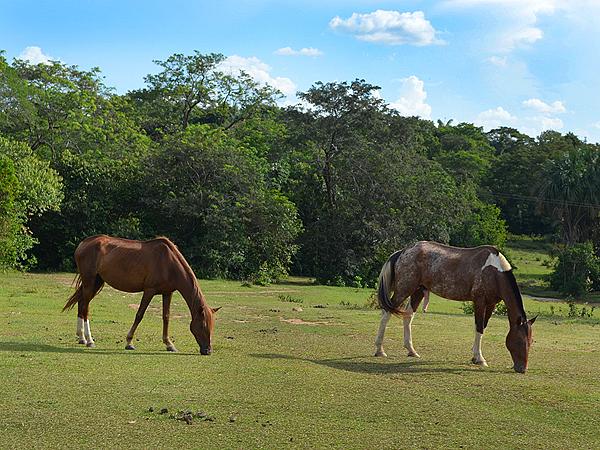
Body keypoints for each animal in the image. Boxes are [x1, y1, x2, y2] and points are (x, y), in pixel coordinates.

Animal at [62, 236, 220, 356]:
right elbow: (139, 315)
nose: (208, 351)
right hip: (90, 281)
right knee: (85, 307)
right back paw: (89, 340)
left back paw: (82, 338)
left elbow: (166, 317)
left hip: (96, 282)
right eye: (203, 325)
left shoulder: (167, 293)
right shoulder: (149, 291)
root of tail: (84, 243)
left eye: (212, 326)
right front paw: (129, 342)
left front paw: (169, 344)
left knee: (82, 304)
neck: (169, 263)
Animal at [372, 243, 536, 372]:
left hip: (417, 290)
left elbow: (483, 326)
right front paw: (479, 358)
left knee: (408, 316)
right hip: (403, 290)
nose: (522, 369)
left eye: (530, 341)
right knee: (386, 313)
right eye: (520, 341)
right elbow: (479, 327)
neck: (494, 272)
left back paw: (411, 350)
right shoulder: (479, 301)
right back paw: (379, 350)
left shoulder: (491, 304)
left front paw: (474, 355)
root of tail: (403, 251)